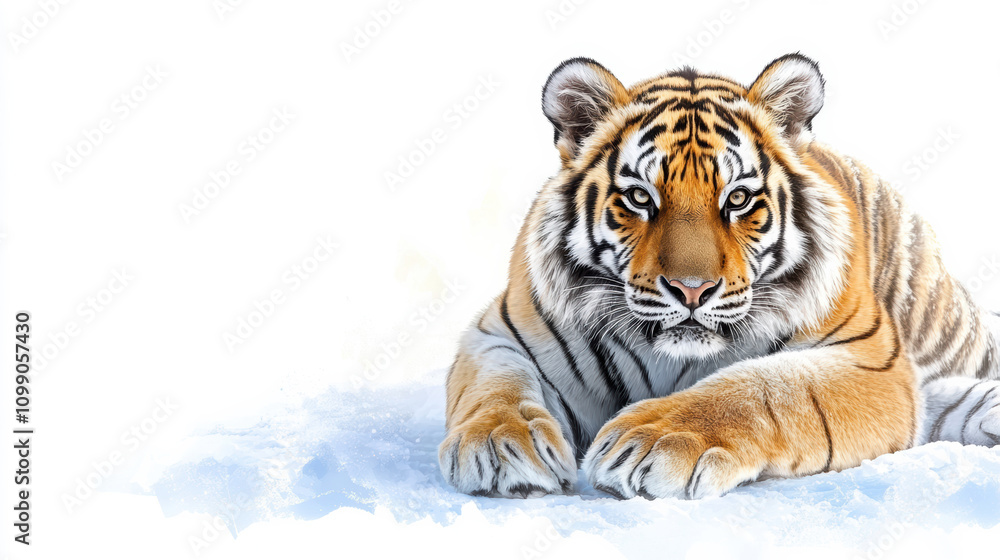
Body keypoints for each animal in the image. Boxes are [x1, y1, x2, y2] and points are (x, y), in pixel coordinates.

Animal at [438, 53, 1000, 499]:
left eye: (738, 199)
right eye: (640, 197)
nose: (693, 290)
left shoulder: (869, 359)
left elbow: (767, 388)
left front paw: (655, 441)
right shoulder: (501, 332)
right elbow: (496, 384)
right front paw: (501, 444)